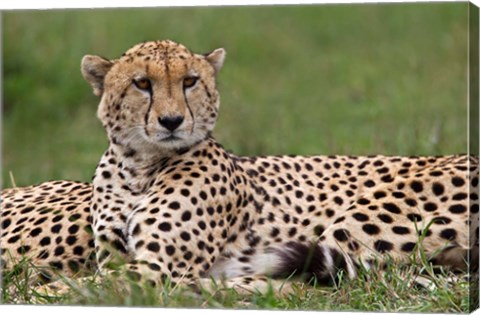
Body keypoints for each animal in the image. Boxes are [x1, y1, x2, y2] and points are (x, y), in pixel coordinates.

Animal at [1, 40, 478, 296]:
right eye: (142, 83)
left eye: (190, 81)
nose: (172, 121)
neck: (139, 165)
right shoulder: (116, 258)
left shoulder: (154, 267)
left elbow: (70, 287)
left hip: (362, 218)